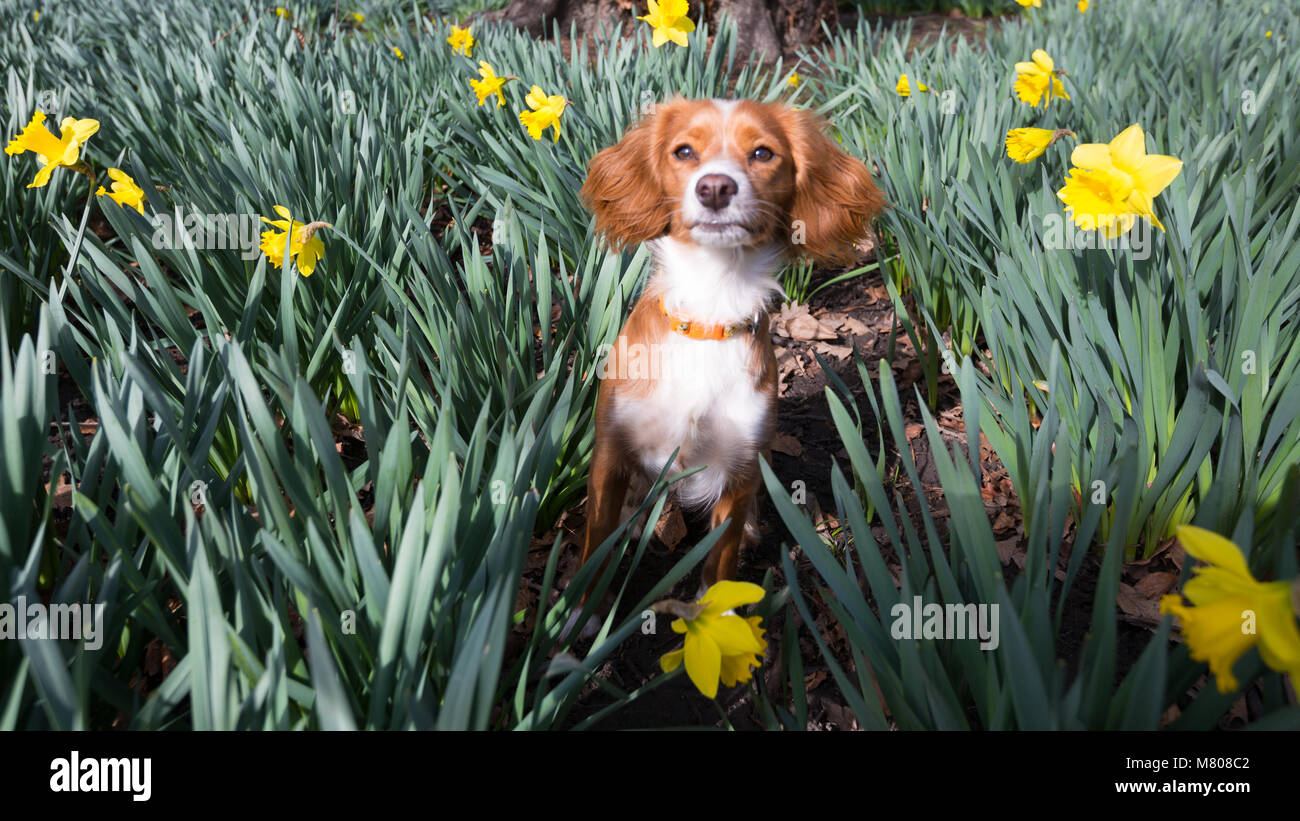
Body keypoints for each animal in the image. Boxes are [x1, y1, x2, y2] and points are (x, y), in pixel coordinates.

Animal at [577, 99, 883, 602]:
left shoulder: (738, 466)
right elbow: (595, 546)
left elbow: (719, 560)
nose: (715, 187)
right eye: (684, 151)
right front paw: (580, 611)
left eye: (762, 153)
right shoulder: (611, 450)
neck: (710, 311)